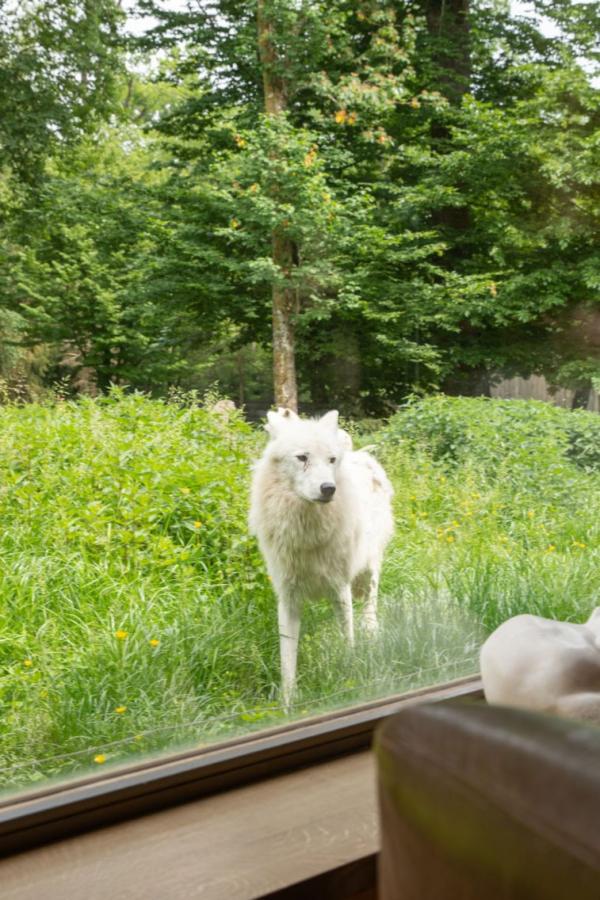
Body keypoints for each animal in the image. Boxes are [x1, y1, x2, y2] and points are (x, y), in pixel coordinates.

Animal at [248, 404, 394, 708]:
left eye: (330, 460)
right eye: (302, 457)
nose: (329, 488)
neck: (306, 532)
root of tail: (361, 455)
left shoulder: (340, 588)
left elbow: (347, 639)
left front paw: (351, 677)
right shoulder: (288, 596)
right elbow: (287, 658)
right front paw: (288, 703)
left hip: (369, 571)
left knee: (370, 607)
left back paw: (371, 635)